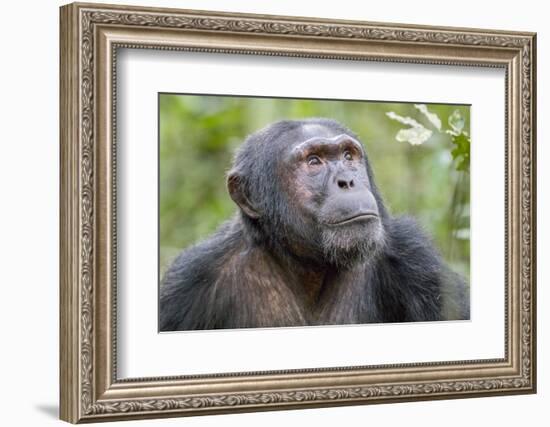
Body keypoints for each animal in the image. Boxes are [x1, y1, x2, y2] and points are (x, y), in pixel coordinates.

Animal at [160, 118, 470, 332]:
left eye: (348, 156)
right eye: (313, 161)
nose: (347, 180)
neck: (310, 265)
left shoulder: (418, 262)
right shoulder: (187, 283)